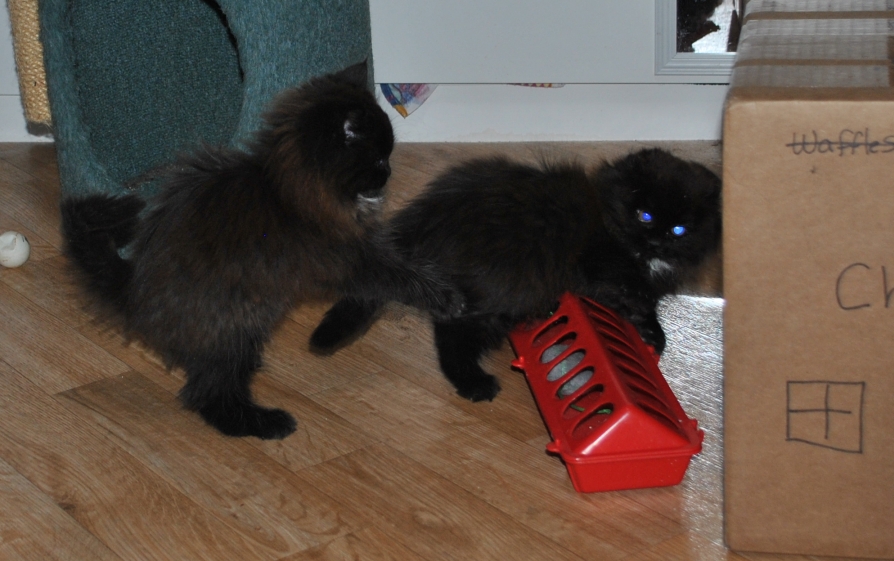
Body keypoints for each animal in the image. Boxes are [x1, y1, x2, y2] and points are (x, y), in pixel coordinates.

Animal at [61, 61, 461, 439]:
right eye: (377, 160)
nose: (389, 172)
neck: (289, 185)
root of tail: (134, 293)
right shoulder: (349, 258)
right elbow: (401, 278)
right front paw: (446, 297)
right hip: (236, 329)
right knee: (209, 395)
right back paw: (264, 423)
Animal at [310, 147, 721, 402]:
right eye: (645, 215)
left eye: (680, 229)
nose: (658, 240)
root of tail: (425, 217)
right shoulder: (598, 268)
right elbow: (625, 295)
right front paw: (652, 333)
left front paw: (650, 333)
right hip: (506, 293)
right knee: (452, 333)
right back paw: (473, 384)